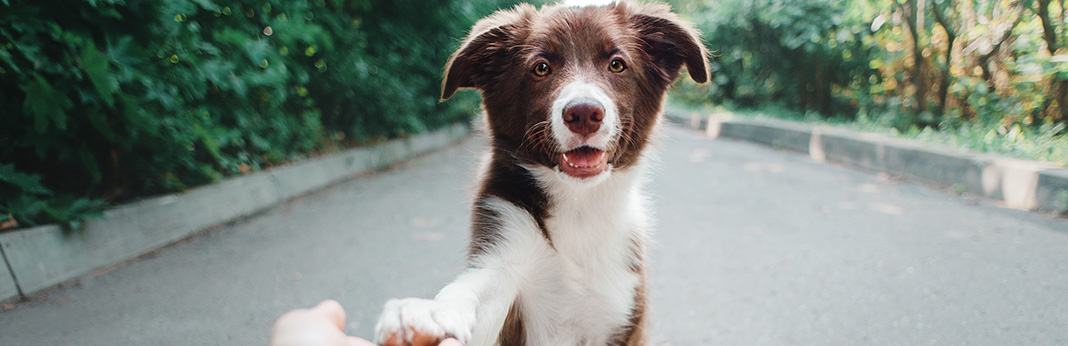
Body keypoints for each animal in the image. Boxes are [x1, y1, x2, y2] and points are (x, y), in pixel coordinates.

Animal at [375, 2, 709, 346]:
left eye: (617, 65)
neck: (579, 205)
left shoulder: (622, 308)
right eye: (541, 68)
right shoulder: (504, 249)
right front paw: (424, 312)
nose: (584, 113)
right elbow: (474, 289)